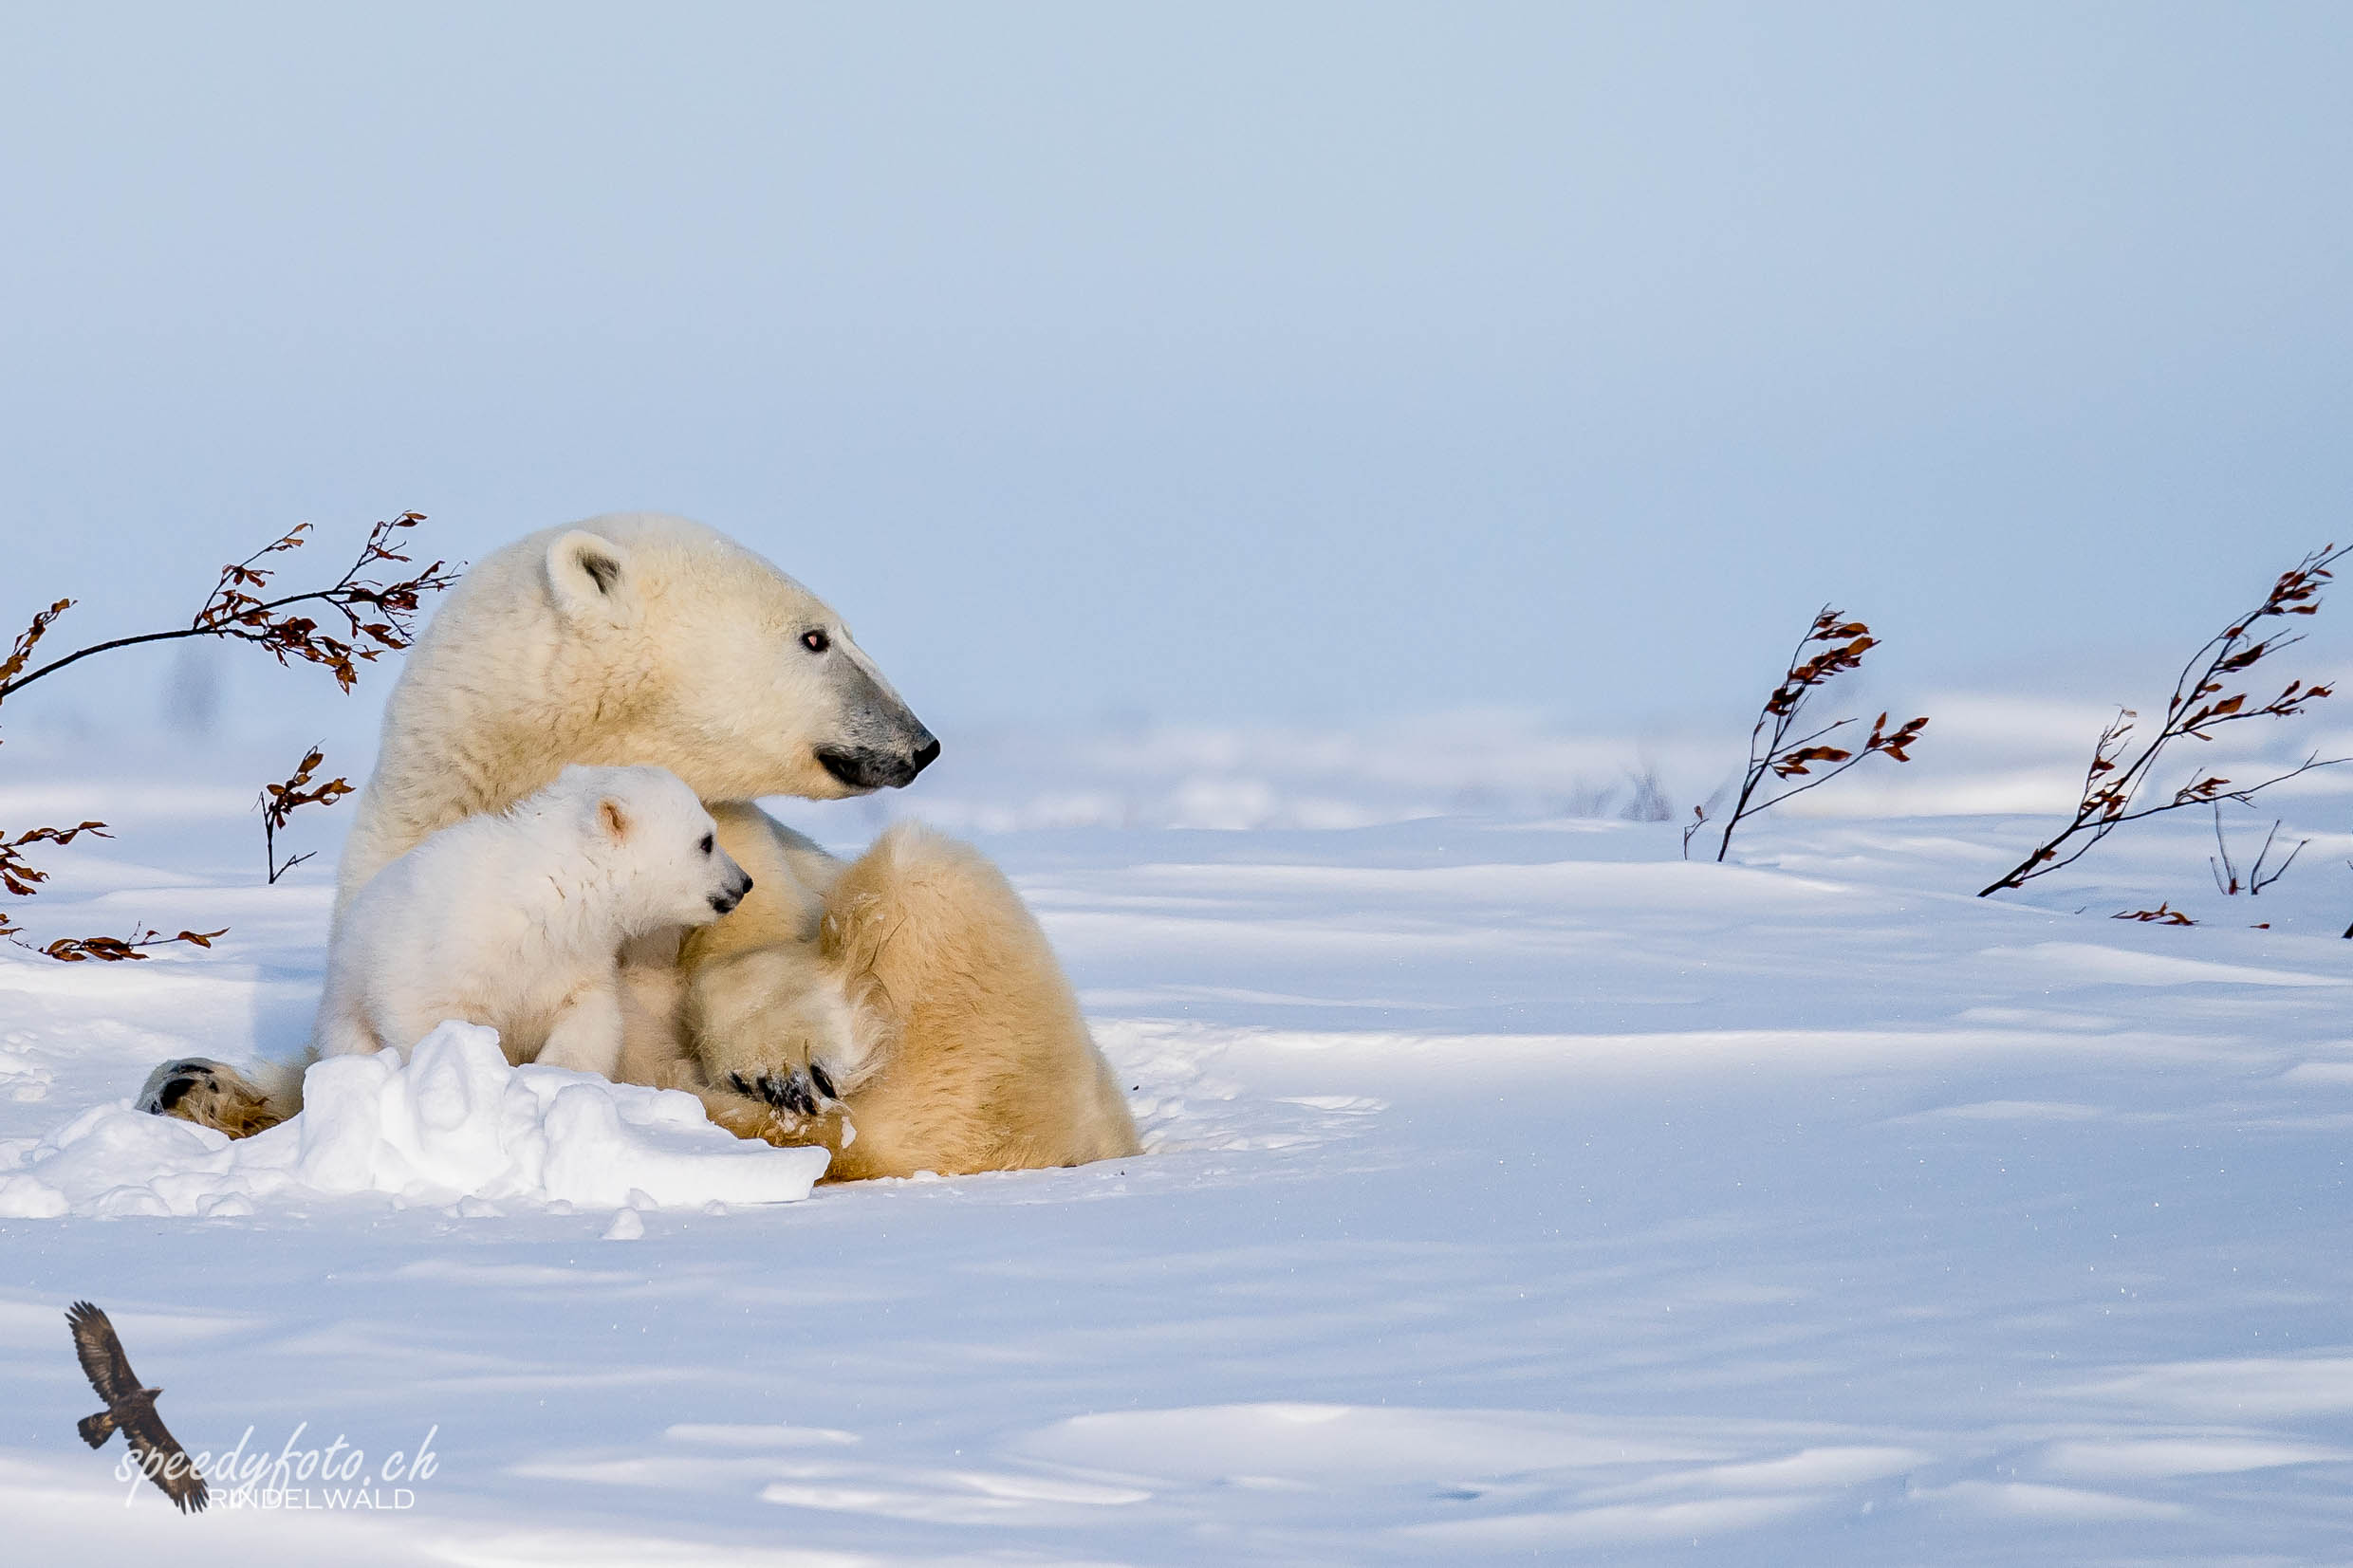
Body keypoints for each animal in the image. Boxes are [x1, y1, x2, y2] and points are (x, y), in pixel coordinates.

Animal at [144, 512, 1139, 1175]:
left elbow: (768, 939)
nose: (920, 740)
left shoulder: (743, 842)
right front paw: (196, 1082)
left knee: (931, 884)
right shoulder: (405, 880)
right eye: (815, 637)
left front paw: (783, 1065)